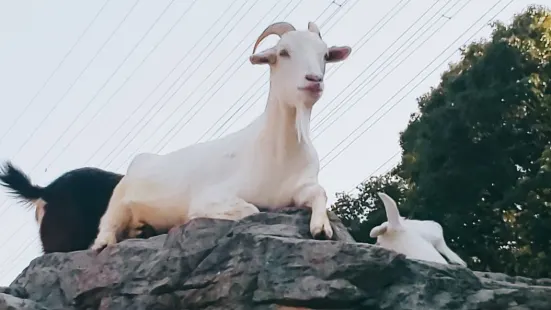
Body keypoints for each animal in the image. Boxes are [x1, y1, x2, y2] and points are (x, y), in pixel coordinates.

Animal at [88, 21, 352, 252]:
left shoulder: (299, 187)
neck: (279, 151)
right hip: (118, 200)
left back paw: (141, 229)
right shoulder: (211, 197)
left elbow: (320, 192)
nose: (314, 80)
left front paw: (322, 228)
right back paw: (107, 241)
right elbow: (251, 210)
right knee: (106, 225)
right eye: (283, 52)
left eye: (325, 55)